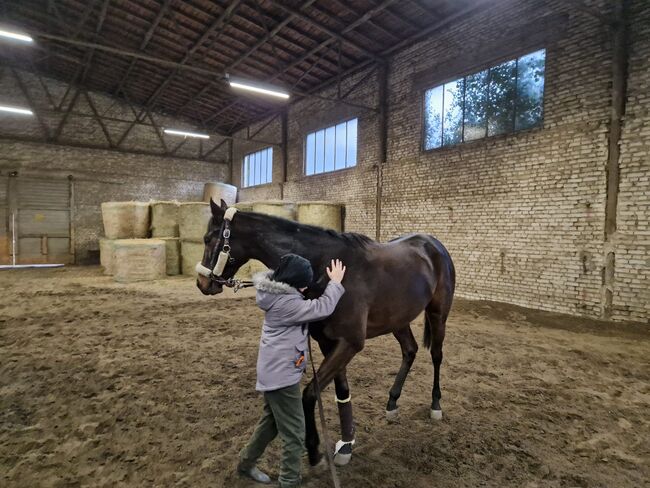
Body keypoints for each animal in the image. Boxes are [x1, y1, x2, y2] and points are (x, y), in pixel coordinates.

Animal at [195, 200, 454, 468]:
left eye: (207, 238)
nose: (202, 283)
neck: (325, 267)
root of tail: (432, 243)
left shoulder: (349, 344)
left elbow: (309, 394)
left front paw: (315, 450)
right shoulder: (328, 343)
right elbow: (342, 392)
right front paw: (346, 444)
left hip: (438, 314)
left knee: (436, 355)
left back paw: (435, 404)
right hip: (398, 320)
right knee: (410, 351)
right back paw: (392, 402)